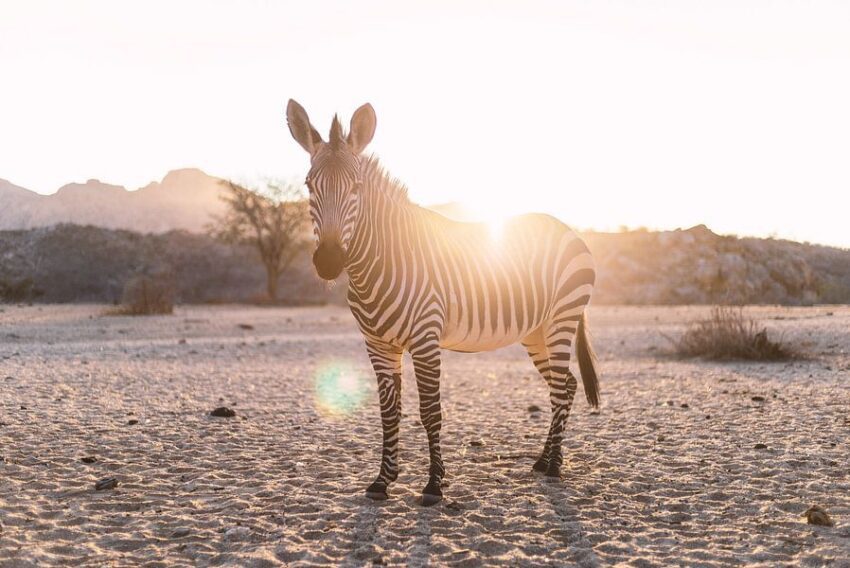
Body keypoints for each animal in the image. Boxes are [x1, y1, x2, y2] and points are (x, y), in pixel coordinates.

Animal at [284, 98, 596, 506]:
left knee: (561, 387)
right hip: (536, 330)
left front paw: (433, 484)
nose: (329, 262)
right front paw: (383, 480)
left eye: (356, 187)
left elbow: (431, 411)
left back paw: (555, 466)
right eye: (309, 185)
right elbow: (389, 413)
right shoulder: (377, 344)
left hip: (562, 317)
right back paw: (544, 461)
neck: (377, 264)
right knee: (567, 386)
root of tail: (568, 228)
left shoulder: (425, 338)